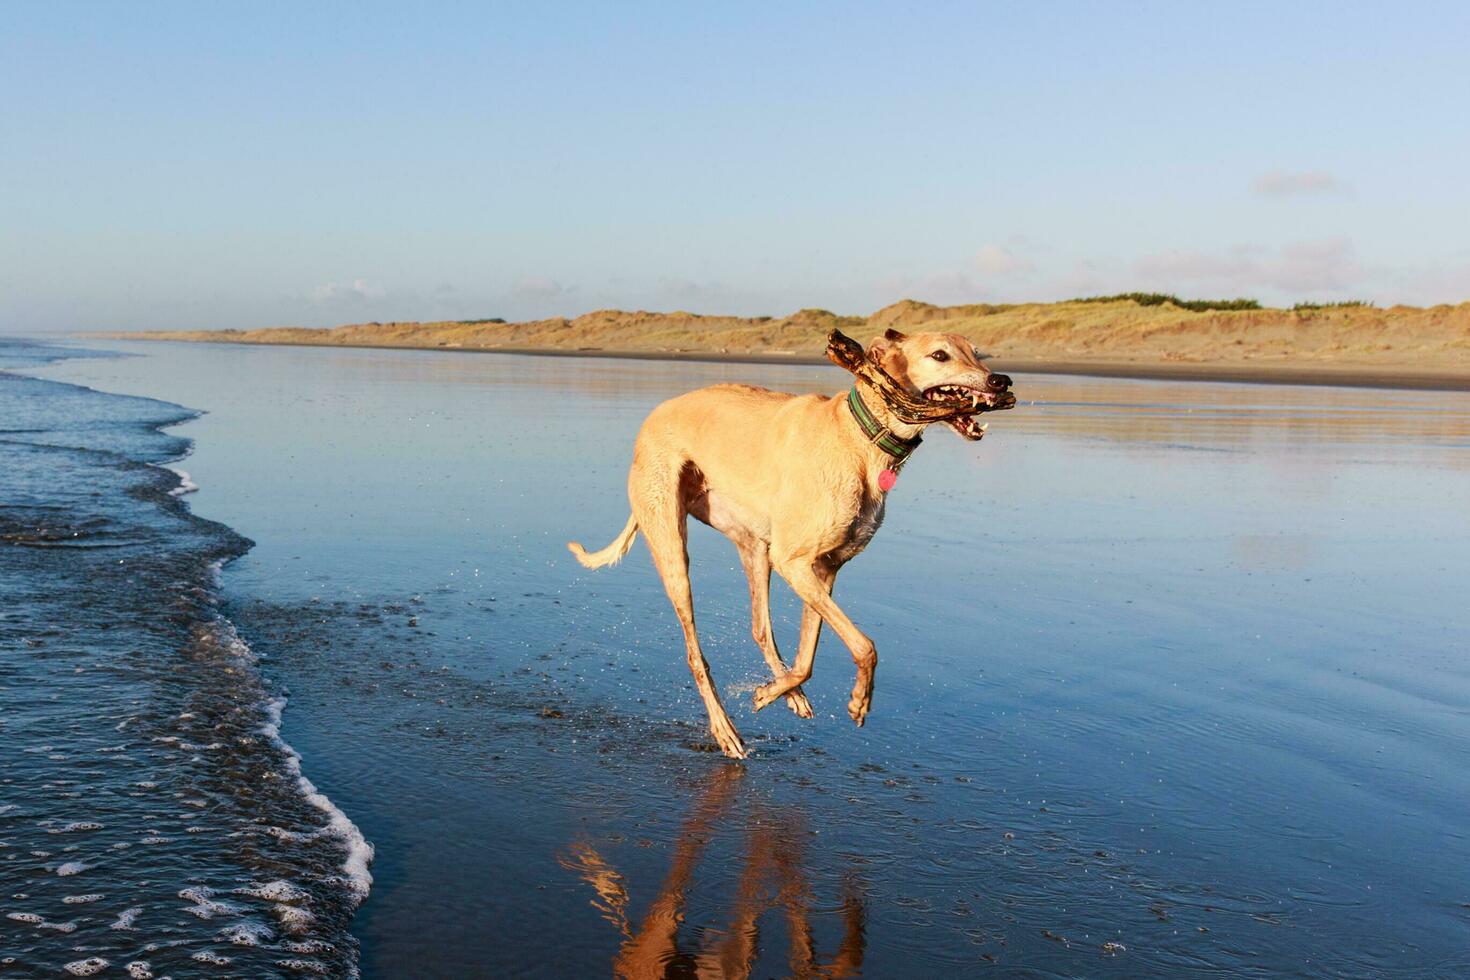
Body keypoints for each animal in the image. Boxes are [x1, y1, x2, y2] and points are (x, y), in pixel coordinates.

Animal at [567, 329, 1017, 758]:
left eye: (978, 353)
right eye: (940, 355)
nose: (1002, 382)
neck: (857, 436)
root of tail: (650, 424)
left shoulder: (824, 568)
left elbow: (807, 657)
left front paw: (774, 692)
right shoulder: (794, 562)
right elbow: (865, 645)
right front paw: (858, 699)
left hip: (754, 548)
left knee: (759, 628)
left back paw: (787, 692)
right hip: (675, 550)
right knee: (695, 653)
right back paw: (725, 731)